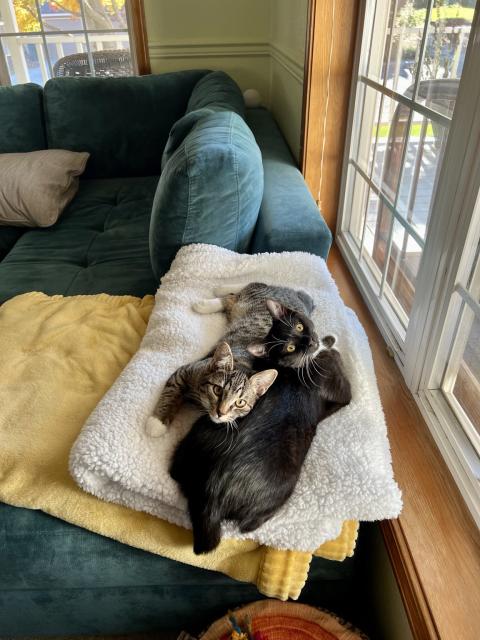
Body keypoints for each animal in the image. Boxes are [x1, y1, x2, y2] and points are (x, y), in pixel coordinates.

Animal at [146, 282, 316, 438]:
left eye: (240, 403)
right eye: (218, 390)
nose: (221, 412)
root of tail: (297, 296)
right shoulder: (186, 370)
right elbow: (171, 391)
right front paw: (157, 422)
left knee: (233, 298)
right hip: (256, 295)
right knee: (247, 288)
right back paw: (210, 299)